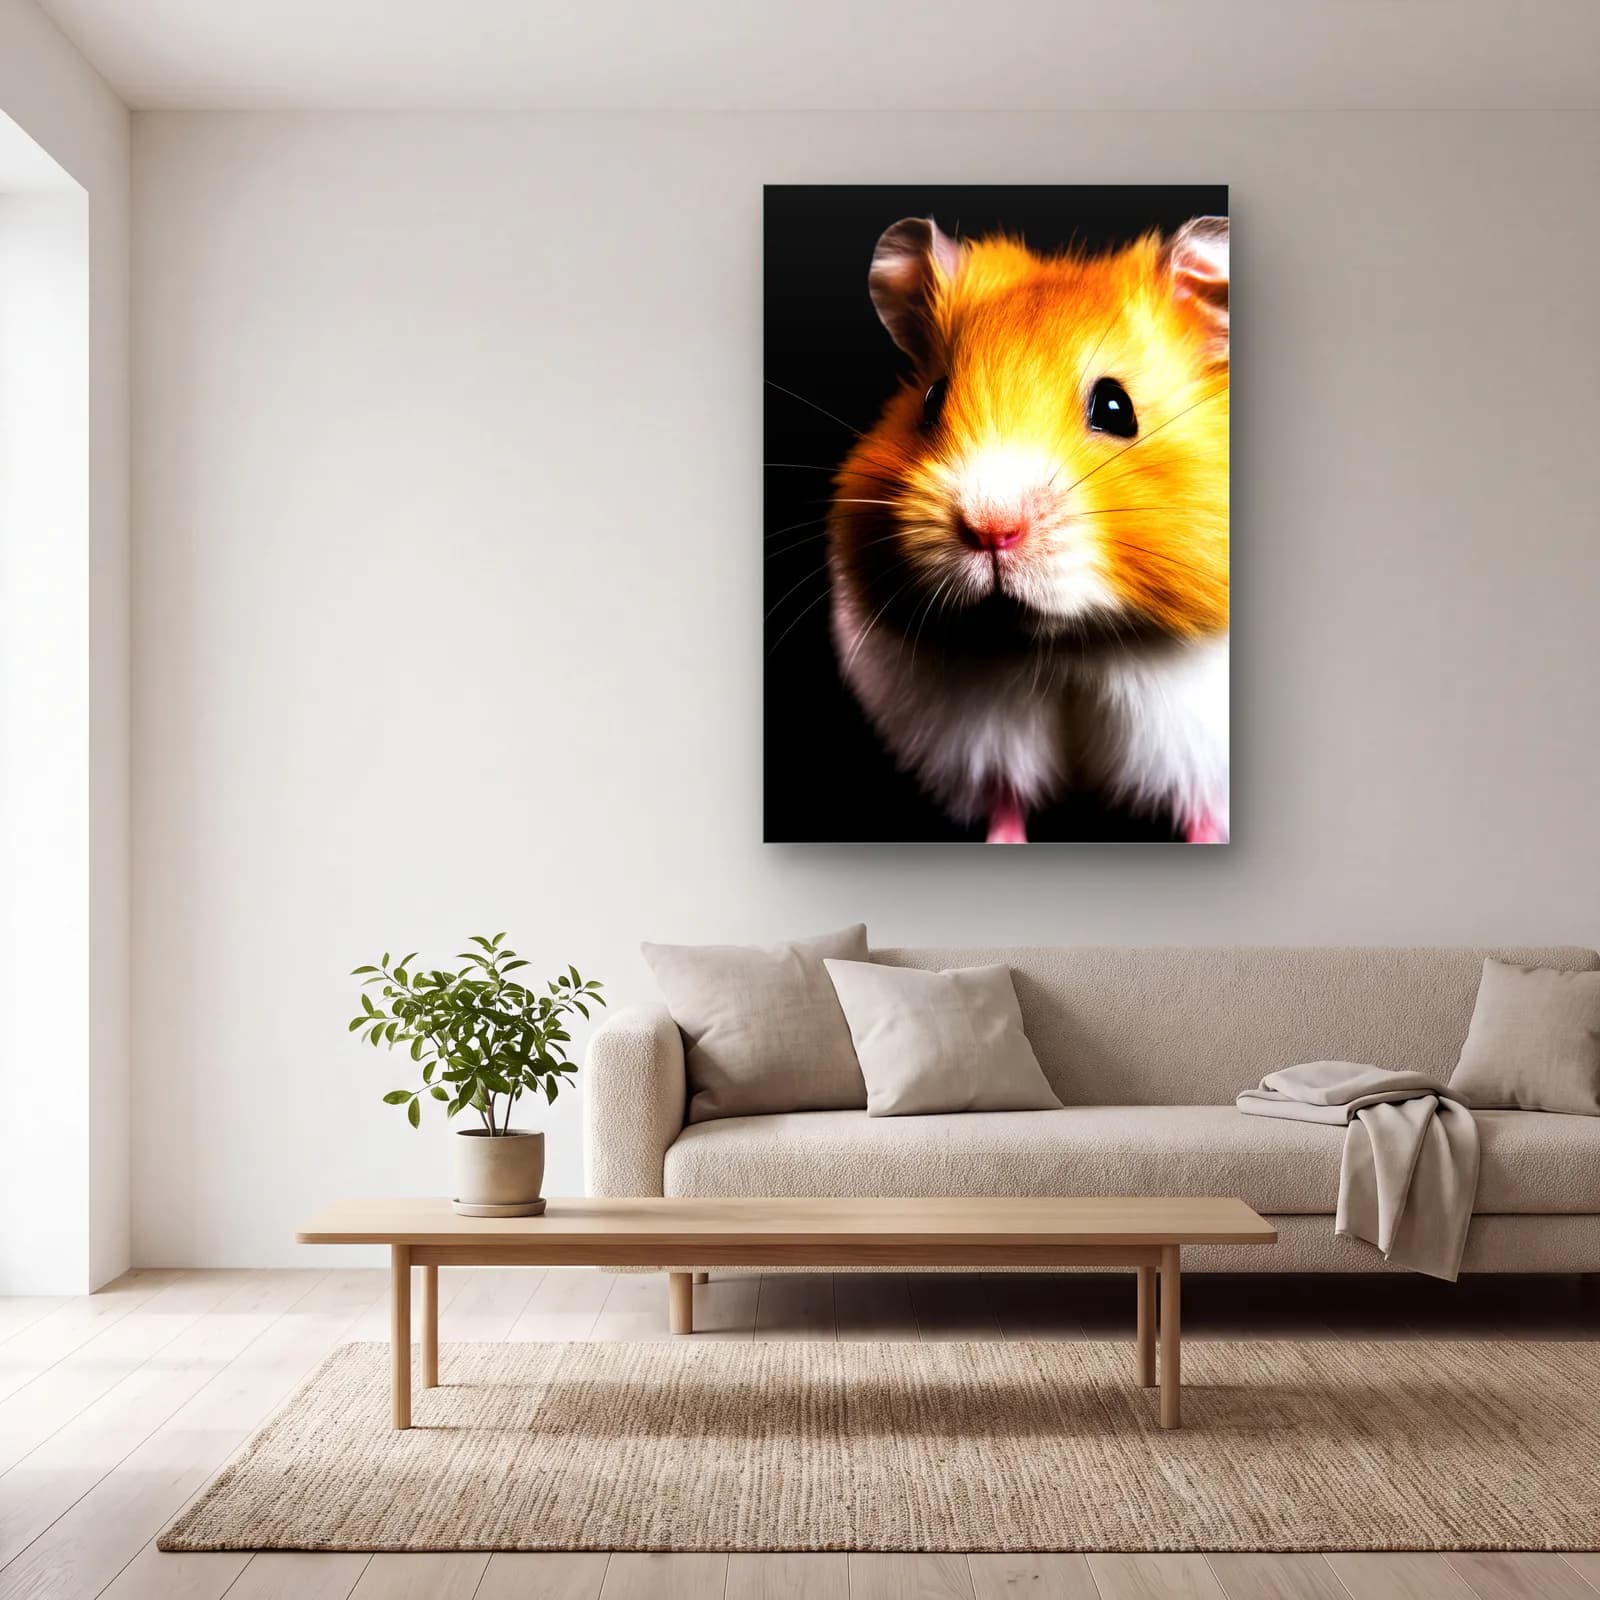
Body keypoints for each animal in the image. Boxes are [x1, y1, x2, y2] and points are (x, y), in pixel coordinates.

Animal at [827, 215, 1230, 844]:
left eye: (1116, 408)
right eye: (931, 400)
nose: (991, 529)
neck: (1070, 648)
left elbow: (1205, 814)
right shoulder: (981, 742)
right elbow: (1006, 807)